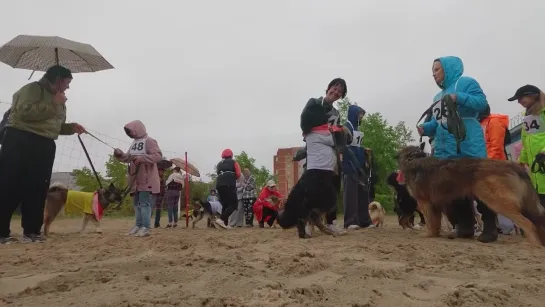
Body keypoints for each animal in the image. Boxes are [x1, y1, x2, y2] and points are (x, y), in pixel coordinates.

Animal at [394, 147, 544, 248]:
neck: (413, 158)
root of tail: (513, 165)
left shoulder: (425, 203)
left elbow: (431, 222)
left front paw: (427, 235)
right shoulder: (435, 205)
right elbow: (435, 223)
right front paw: (434, 234)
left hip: (496, 201)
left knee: (528, 223)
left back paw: (532, 244)